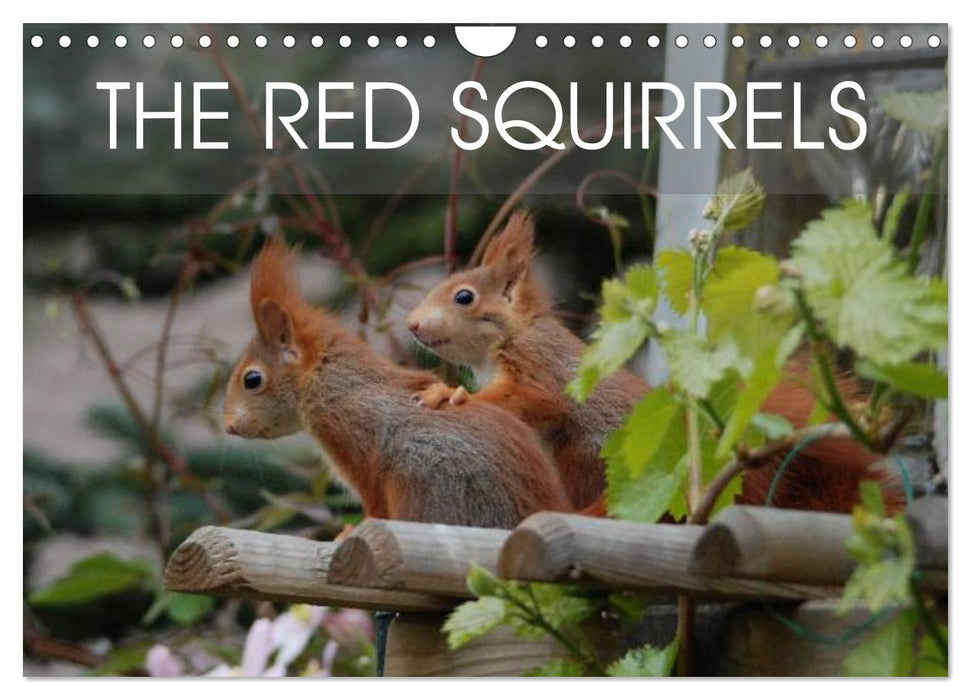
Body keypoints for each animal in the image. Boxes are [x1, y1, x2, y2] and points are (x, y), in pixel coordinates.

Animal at [223, 238, 571, 529]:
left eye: (252, 379)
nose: (228, 426)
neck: (329, 382)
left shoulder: (351, 435)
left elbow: (373, 502)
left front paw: (349, 533)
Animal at [407, 211, 906, 516]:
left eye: (464, 297)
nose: (411, 325)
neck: (504, 342)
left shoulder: (540, 366)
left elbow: (538, 400)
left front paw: (452, 393)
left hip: (588, 456)